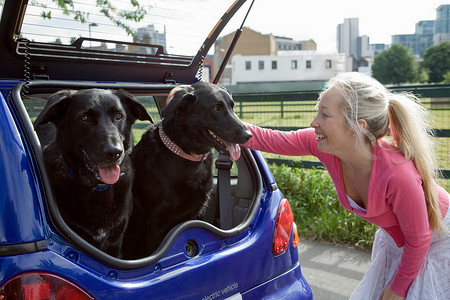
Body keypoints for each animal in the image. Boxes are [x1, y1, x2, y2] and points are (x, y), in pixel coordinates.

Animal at [123, 81, 251, 258]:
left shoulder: (194, 215)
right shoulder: (156, 225)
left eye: (232, 106)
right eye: (216, 108)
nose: (248, 135)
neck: (186, 155)